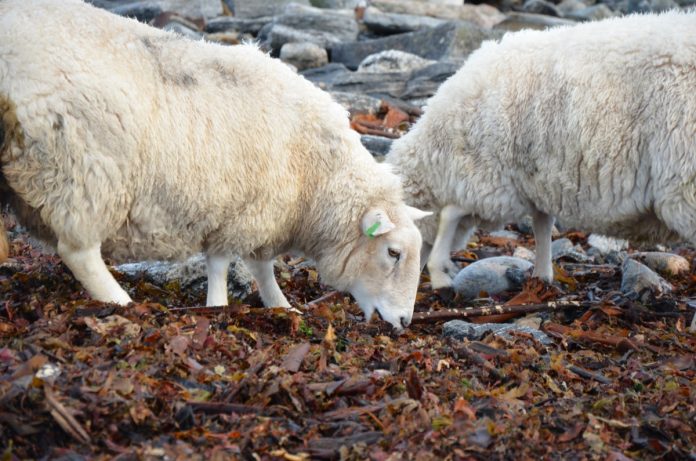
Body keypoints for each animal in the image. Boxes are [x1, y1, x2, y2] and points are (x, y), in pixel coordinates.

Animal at [0, 0, 432, 330]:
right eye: (394, 253)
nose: (405, 322)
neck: (317, 179)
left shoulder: (263, 215)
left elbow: (261, 266)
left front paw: (280, 305)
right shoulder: (243, 210)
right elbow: (226, 264)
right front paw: (220, 306)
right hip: (83, 167)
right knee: (80, 251)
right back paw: (121, 301)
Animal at [386, 11, 696, 288]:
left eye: (394, 251)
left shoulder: (487, 174)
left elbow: (453, 211)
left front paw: (440, 272)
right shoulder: (536, 179)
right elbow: (541, 223)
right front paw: (542, 276)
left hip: (685, 182)